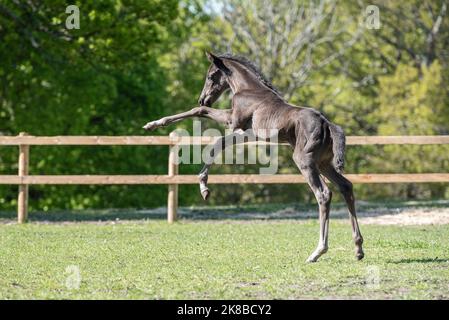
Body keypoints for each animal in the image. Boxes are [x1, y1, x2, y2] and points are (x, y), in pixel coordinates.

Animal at [144, 52, 364, 262]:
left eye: (210, 76)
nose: (203, 98)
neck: (249, 89)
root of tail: (327, 123)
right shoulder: (247, 133)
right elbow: (217, 142)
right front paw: (204, 187)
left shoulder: (233, 122)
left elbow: (204, 117)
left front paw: (154, 123)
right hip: (324, 163)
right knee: (346, 187)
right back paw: (358, 248)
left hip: (305, 161)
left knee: (323, 194)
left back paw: (318, 251)